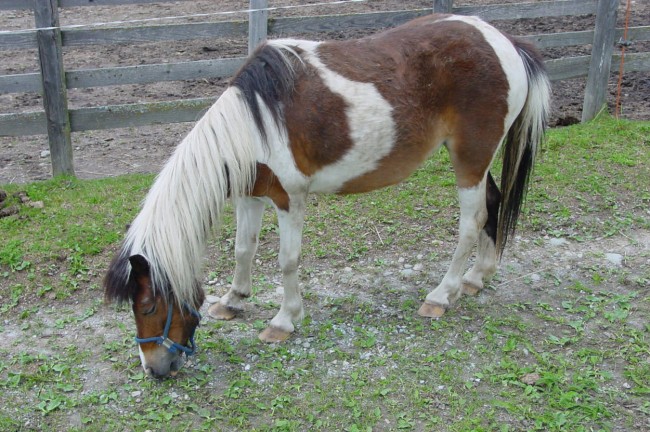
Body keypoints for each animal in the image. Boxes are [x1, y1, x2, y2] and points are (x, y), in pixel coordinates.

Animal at [104, 13, 551, 378]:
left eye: (148, 307)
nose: (154, 368)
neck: (255, 126)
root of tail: (506, 42)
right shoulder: (250, 196)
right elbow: (243, 249)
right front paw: (233, 301)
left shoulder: (289, 199)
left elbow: (286, 261)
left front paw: (283, 321)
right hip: (477, 161)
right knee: (493, 203)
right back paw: (477, 277)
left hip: (469, 159)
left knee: (471, 223)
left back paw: (442, 294)